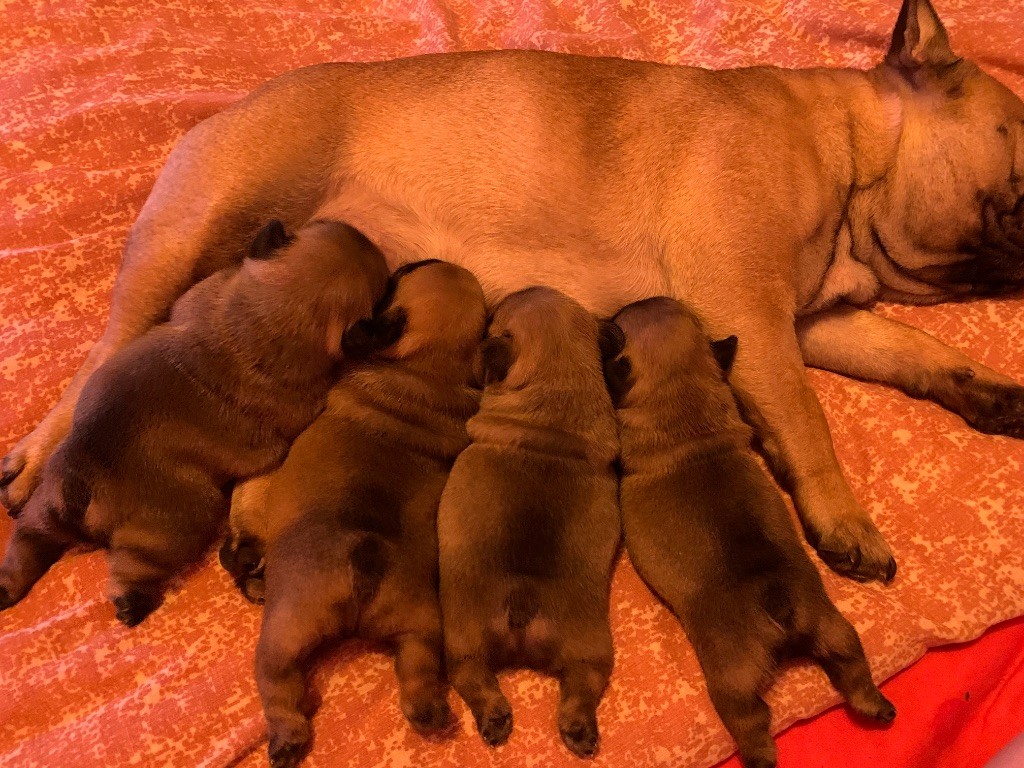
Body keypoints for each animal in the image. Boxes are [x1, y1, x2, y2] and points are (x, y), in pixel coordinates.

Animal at [0, 219, 389, 626]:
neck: (261, 320)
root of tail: (83, 485)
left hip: (47, 503)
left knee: (30, 537)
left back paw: (8, 585)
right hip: (175, 526)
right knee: (134, 565)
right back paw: (132, 601)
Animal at [2, 0, 1024, 581]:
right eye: (1021, 154)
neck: (850, 150)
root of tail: (224, 110)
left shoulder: (814, 320)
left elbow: (914, 351)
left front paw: (985, 387)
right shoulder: (755, 316)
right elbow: (808, 426)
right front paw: (846, 522)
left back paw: (252, 528)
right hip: (194, 227)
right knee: (104, 358)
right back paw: (35, 461)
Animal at [217, 262, 487, 765]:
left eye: (407, 273)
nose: (402, 263)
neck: (429, 369)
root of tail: (362, 561)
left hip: (285, 632)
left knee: (278, 683)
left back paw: (286, 737)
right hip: (419, 625)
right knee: (418, 668)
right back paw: (428, 712)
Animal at [436, 286, 618, 757]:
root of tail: (523, 602)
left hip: (463, 641)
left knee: (472, 676)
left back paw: (496, 718)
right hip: (589, 647)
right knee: (580, 686)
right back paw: (578, 730)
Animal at [606, 296, 897, 768]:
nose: (641, 298)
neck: (682, 402)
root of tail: (778, 602)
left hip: (733, 679)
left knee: (750, 719)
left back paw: (760, 756)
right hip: (838, 632)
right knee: (854, 669)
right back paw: (877, 706)